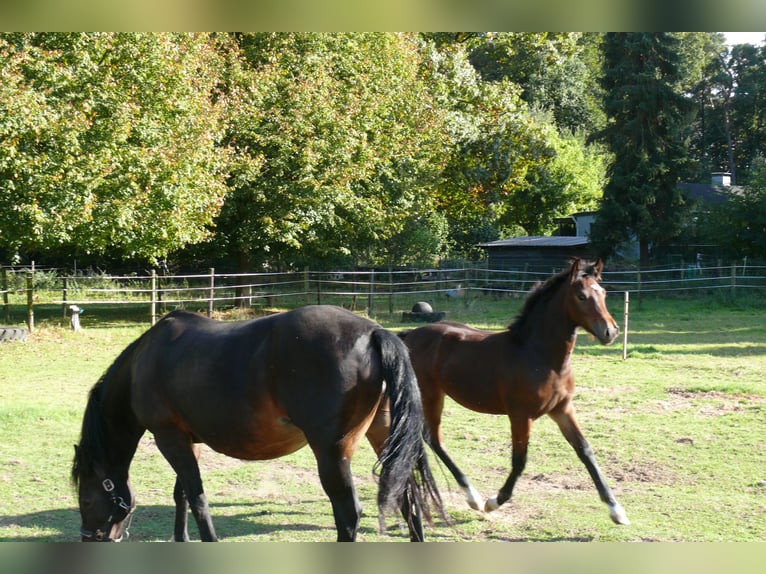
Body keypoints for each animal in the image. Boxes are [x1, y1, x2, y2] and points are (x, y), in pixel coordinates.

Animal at [71, 305, 444, 542]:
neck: (142, 365)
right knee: (407, 498)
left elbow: (197, 500)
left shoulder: (169, 438)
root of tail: (373, 332)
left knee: (348, 514)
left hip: (332, 452)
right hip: (383, 436)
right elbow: (182, 494)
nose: (89, 538)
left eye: (86, 501)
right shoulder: (186, 439)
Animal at [398, 258, 630, 526]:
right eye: (581, 296)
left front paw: (616, 510)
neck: (540, 356)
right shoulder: (520, 415)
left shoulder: (562, 409)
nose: (610, 332)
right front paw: (494, 502)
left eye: (603, 293)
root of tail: (409, 335)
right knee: (432, 438)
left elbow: (585, 450)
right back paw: (473, 497)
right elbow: (520, 460)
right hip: (430, 395)